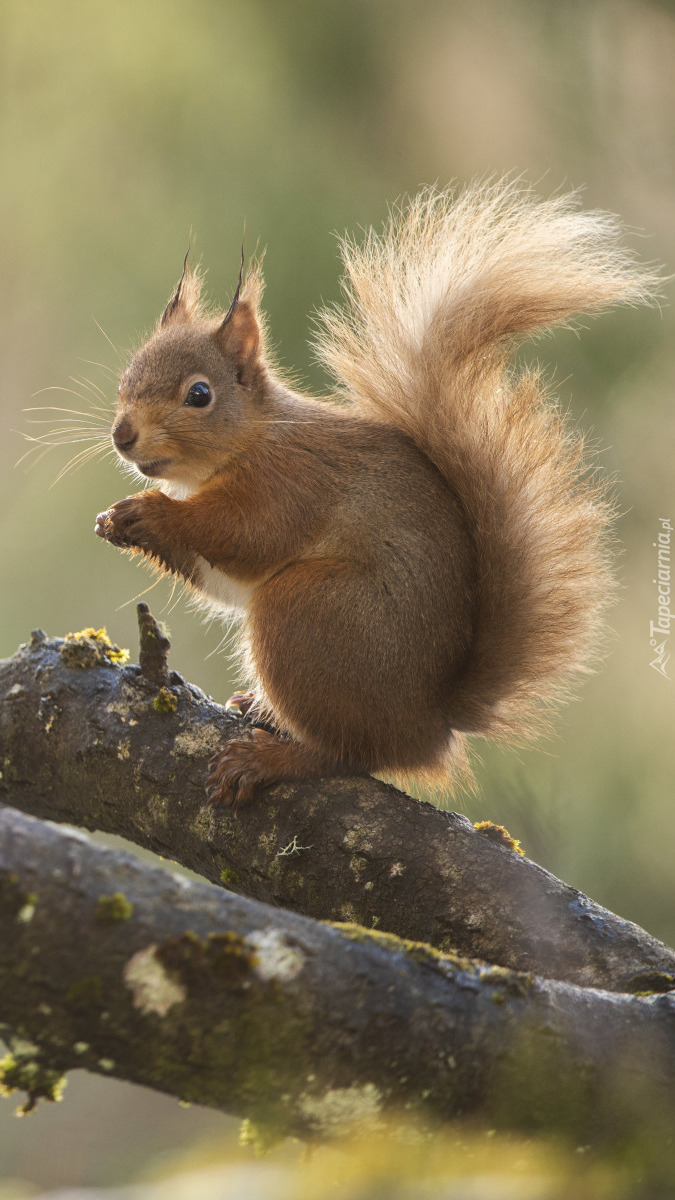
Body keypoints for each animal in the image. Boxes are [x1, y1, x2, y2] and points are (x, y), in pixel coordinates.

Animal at [94, 180, 658, 806]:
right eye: (127, 377)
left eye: (199, 394)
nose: (123, 436)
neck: (252, 440)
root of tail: (430, 723)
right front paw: (118, 523)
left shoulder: (292, 485)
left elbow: (246, 535)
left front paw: (153, 512)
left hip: (311, 614)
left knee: (351, 754)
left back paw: (272, 757)